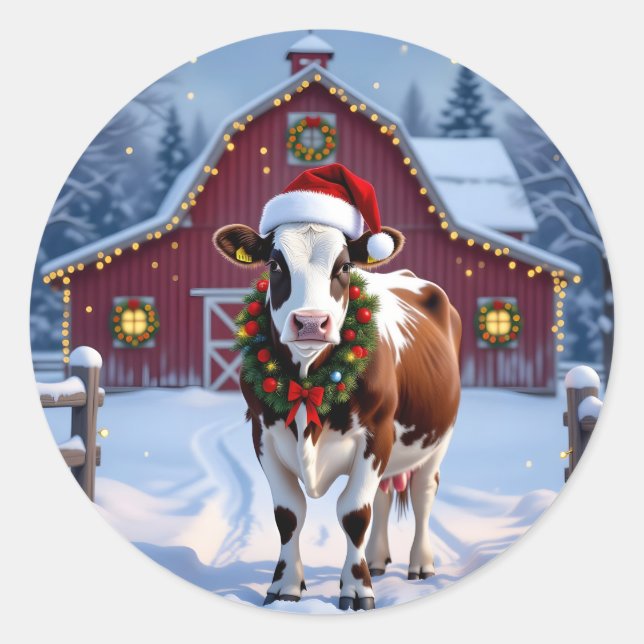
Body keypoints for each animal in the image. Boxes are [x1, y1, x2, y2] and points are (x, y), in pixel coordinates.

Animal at [214, 217, 461, 611]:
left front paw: (357, 591)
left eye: (344, 267)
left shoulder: (375, 435)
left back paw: (421, 565)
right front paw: (284, 587)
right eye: (275, 264)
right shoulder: (263, 434)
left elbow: (354, 513)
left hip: (439, 437)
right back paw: (376, 560)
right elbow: (289, 514)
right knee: (384, 496)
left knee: (423, 492)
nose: (311, 323)